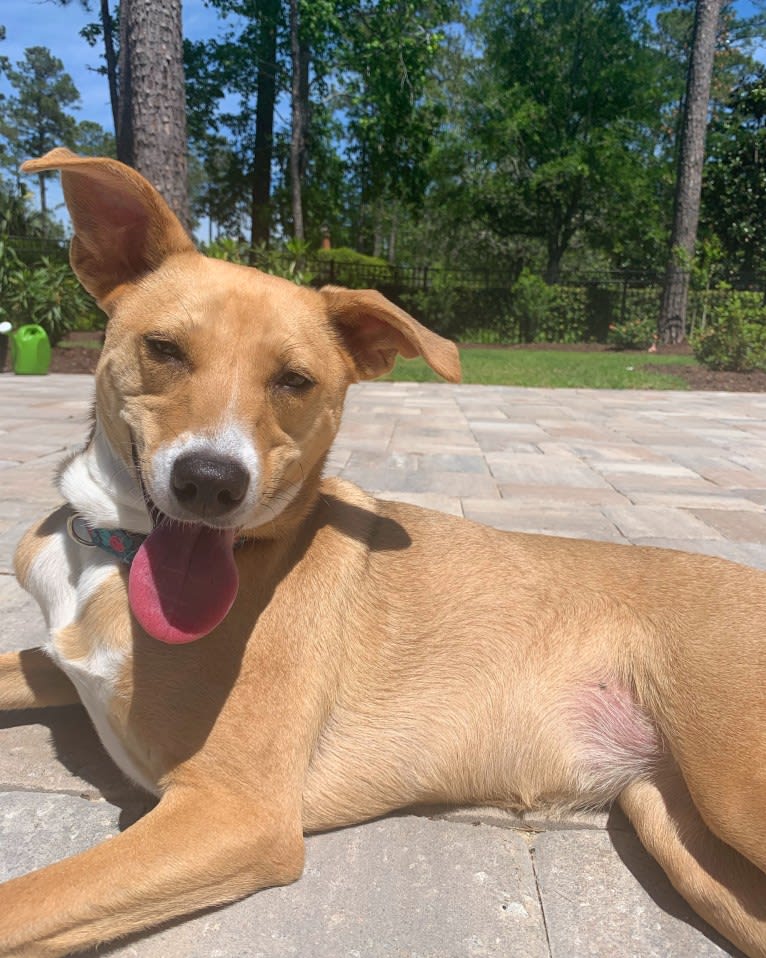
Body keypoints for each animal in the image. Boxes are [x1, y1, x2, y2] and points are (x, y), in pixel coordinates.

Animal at [0, 146, 764, 956]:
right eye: (164, 349)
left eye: (295, 380)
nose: (210, 482)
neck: (113, 550)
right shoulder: (61, 666)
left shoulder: (233, 811)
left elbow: (23, 902)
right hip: (678, 830)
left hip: (733, 794)